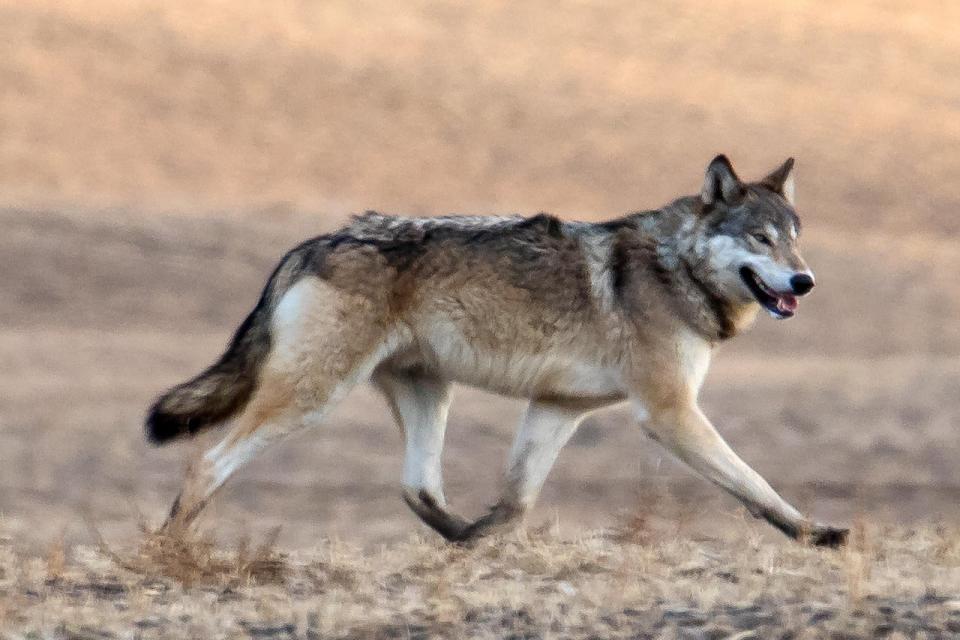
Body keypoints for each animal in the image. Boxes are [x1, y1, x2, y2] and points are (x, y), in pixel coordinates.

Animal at [144, 154, 848, 544]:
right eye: (760, 239)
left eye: (795, 239)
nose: (806, 282)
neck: (676, 270)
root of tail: (313, 243)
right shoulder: (668, 414)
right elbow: (754, 482)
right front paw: (816, 534)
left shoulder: (559, 407)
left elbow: (516, 502)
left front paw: (491, 543)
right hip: (312, 398)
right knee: (207, 462)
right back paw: (171, 549)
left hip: (430, 396)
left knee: (418, 489)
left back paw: (461, 539)